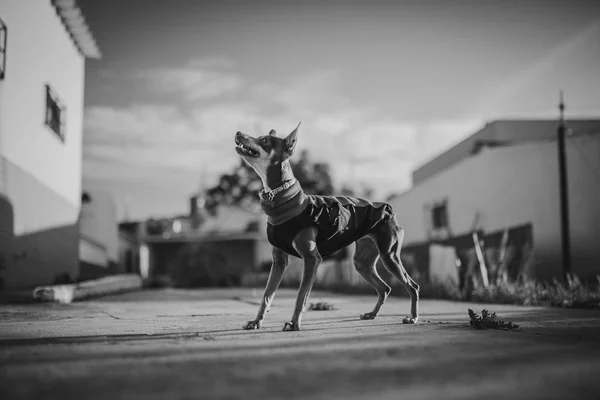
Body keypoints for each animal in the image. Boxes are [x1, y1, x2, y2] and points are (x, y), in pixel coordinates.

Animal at [232, 122, 420, 332]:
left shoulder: (312, 259)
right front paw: (256, 321)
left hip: (390, 255)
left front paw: (294, 323)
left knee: (412, 286)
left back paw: (412, 317)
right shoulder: (278, 261)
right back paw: (372, 314)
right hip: (362, 261)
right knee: (384, 288)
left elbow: (301, 295)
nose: (238, 132)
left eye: (264, 140)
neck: (282, 199)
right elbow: (267, 295)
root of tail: (387, 208)